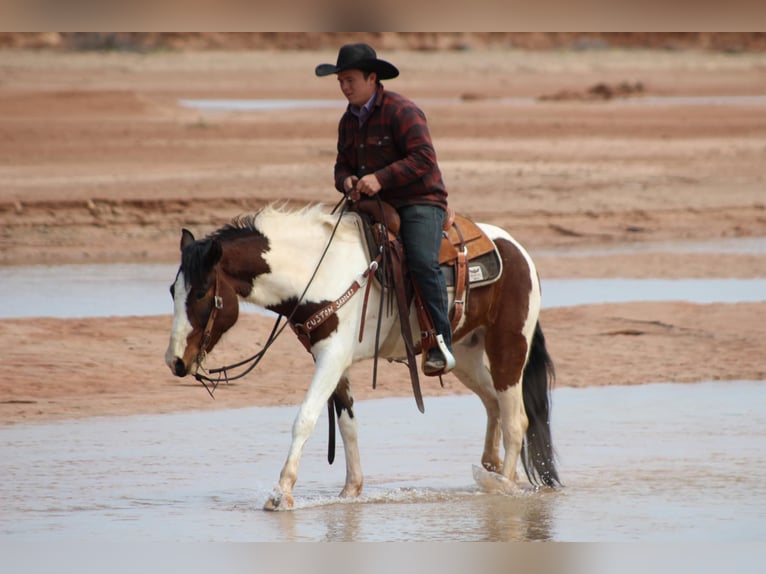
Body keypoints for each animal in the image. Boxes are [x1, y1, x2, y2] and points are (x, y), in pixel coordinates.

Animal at [165, 205, 560, 510]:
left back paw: (504, 485)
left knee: (515, 420)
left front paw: (281, 494)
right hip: (465, 356)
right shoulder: (332, 362)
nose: (175, 361)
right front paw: (350, 491)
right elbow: (347, 424)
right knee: (494, 404)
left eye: (201, 292)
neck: (320, 273)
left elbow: (305, 418)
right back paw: (491, 470)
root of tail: (519, 252)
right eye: (172, 290)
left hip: (509, 347)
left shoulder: (332, 357)